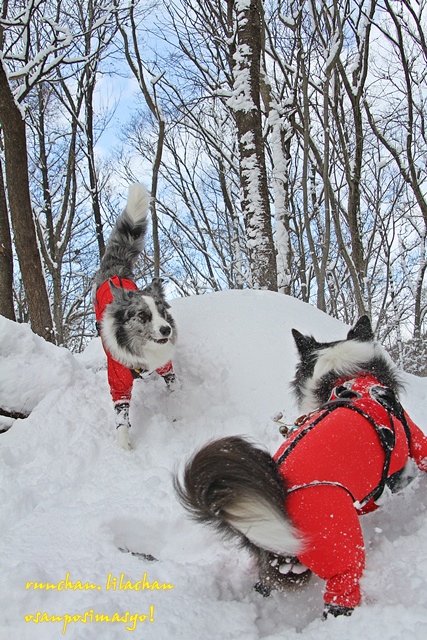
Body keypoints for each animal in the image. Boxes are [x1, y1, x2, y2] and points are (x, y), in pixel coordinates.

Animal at [94, 182, 178, 448]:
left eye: (162, 311)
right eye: (142, 315)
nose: (166, 329)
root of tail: (116, 272)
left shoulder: (166, 367)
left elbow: (174, 388)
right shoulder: (118, 381)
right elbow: (121, 414)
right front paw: (125, 445)